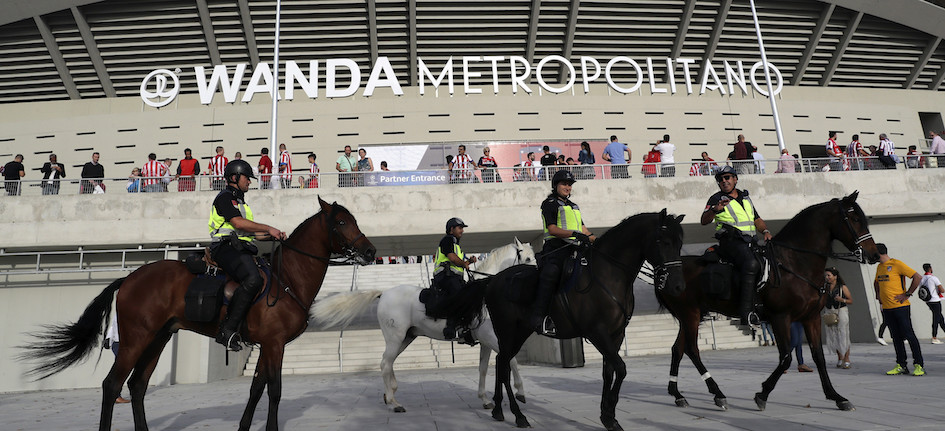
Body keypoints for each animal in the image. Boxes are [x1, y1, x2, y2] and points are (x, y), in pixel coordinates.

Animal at [18, 198, 376, 431]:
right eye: (341, 222)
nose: (371, 251)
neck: (285, 278)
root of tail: (130, 278)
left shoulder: (267, 346)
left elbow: (256, 389)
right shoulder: (275, 345)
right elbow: (274, 391)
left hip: (158, 339)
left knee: (137, 386)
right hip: (136, 341)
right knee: (112, 385)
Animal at [314, 240, 536, 412]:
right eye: (526, 259)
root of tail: (383, 293)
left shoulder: (486, 341)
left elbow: (482, 369)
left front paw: (485, 399)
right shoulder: (491, 338)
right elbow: (512, 359)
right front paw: (521, 392)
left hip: (406, 338)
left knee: (389, 363)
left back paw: (390, 394)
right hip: (395, 337)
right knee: (385, 363)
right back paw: (394, 403)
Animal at [484, 210, 684, 431]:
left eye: (680, 243)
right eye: (663, 241)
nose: (678, 286)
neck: (608, 275)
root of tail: (493, 280)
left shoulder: (616, 334)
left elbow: (609, 372)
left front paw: (608, 416)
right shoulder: (597, 332)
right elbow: (621, 369)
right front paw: (609, 415)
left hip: (519, 333)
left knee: (501, 362)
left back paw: (498, 410)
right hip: (507, 331)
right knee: (503, 366)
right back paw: (518, 415)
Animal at [652, 192, 880, 412]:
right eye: (854, 219)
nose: (874, 254)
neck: (795, 262)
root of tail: (665, 272)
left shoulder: (811, 318)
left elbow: (819, 357)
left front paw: (837, 397)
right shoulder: (780, 318)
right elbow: (786, 357)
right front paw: (762, 394)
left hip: (692, 316)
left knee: (678, 349)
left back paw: (678, 395)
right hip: (690, 314)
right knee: (692, 350)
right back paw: (717, 394)